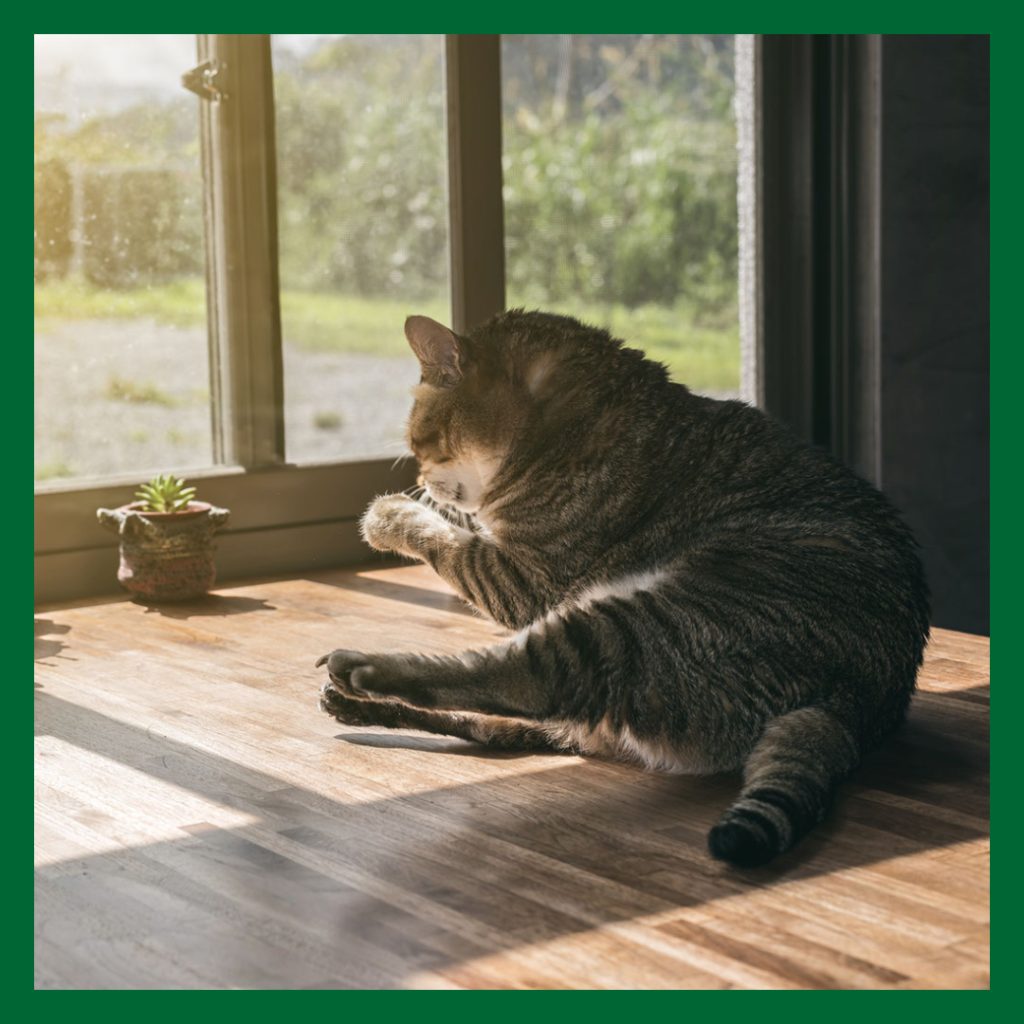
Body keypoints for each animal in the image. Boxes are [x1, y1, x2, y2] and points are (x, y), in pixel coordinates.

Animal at [315, 309, 933, 864]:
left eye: (420, 443)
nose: (419, 478)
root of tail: (861, 698)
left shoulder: (522, 578)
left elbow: (446, 538)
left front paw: (388, 513)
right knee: (499, 725)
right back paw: (355, 706)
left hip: (628, 627)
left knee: (512, 680)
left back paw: (364, 671)